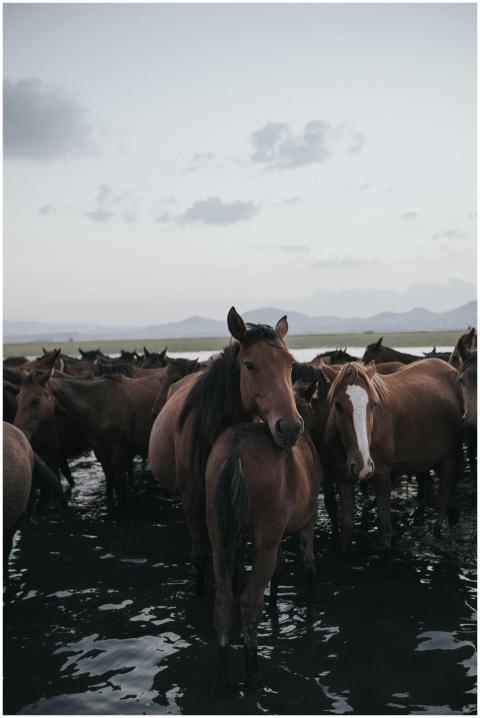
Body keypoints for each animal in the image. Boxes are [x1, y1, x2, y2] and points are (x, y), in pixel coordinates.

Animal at [205, 379, 322, 694]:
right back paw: (253, 672)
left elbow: (279, 571)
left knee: (223, 599)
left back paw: (222, 678)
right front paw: (310, 607)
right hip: (265, 540)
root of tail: (235, 450)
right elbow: (308, 564)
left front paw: (275, 605)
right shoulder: (305, 525)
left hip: (220, 541)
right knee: (248, 600)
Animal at [320, 359, 463, 551]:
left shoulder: (382, 474)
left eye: (373, 404)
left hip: (452, 455)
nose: (363, 466)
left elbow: (385, 527)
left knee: (444, 494)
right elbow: (347, 529)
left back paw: (438, 532)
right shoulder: (343, 479)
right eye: (338, 405)